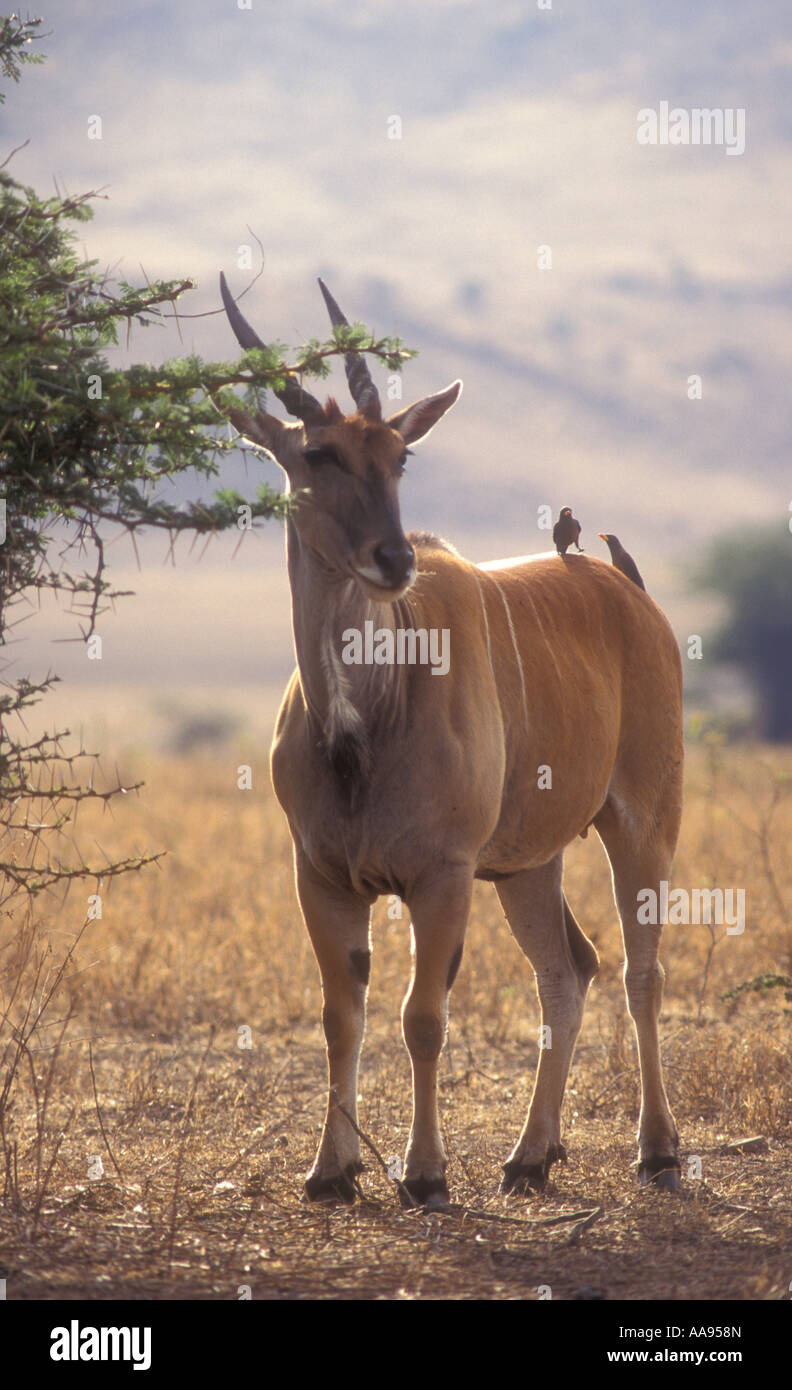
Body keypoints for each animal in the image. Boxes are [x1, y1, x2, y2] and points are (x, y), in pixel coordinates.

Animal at [219, 273, 680, 1206]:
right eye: (317, 456)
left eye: (399, 458)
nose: (393, 558)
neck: (363, 724)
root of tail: (632, 593)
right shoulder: (323, 876)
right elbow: (341, 1016)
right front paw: (330, 1170)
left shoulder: (442, 873)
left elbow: (422, 1018)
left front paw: (424, 1173)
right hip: (529, 866)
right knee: (567, 971)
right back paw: (531, 1155)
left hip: (642, 824)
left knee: (639, 972)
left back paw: (656, 1150)